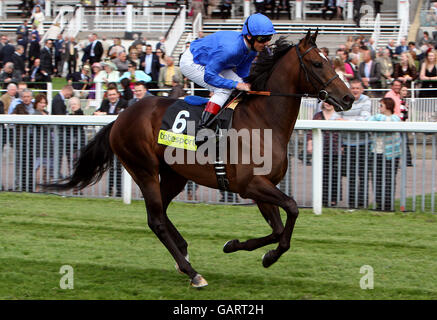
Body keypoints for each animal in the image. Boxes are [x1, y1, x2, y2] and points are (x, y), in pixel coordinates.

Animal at [46, 30, 354, 288]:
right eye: (317, 64)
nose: (348, 98)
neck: (262, 121)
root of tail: (121, 117)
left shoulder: (263, 186)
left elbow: (278, 230)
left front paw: (243, 248)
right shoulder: (251, 185)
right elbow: (292, 208)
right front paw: (266, 255)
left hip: (174, 175)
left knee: (160, 213)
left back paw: (183, 252)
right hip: (143, 169)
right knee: (155, 220)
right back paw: (192, 273)